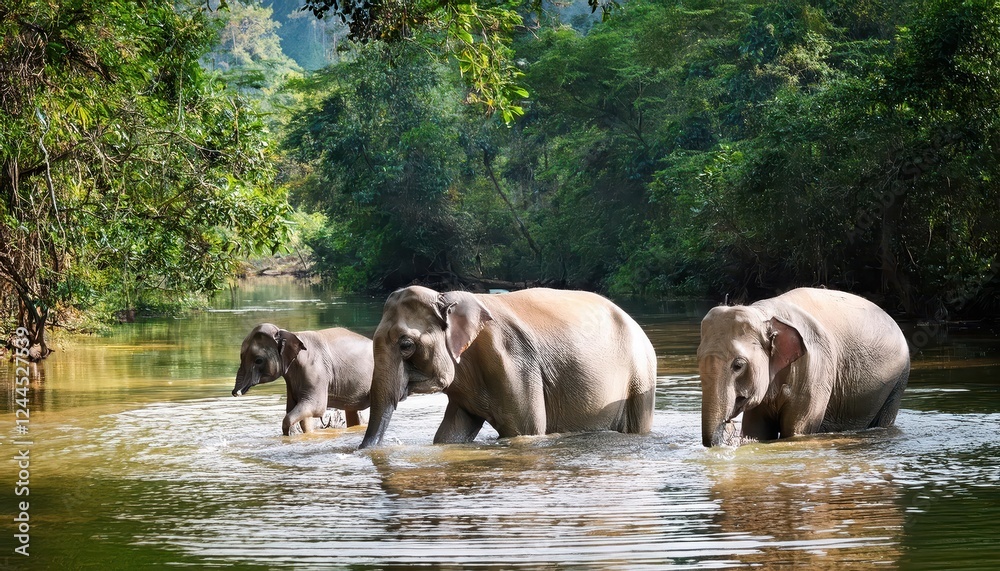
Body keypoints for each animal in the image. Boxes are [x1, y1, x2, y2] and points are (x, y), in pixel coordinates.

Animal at [232, 323, 373, 436]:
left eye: (258, 360)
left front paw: (289, 433)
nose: (235, 393)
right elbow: (298, 411)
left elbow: (315, 407)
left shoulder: (315, 370)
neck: (290, 334)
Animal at [358, 286, 657, 449]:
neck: (446, 296)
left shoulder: (515, 362)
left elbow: (525, 432)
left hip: (641, 374)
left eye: (406, 345)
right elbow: (449, 435)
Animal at [698, 287, 910, 447]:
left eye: (738, 365)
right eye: (698, 362)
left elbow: (796, 431)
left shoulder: (814, 368)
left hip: (898, 380)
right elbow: (758, 430)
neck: (764, 313)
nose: (727, 426)